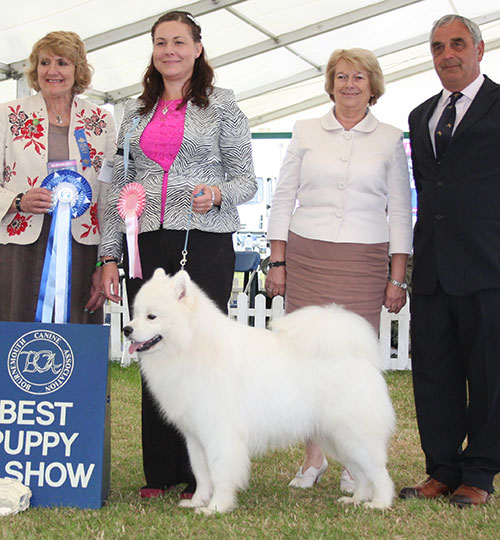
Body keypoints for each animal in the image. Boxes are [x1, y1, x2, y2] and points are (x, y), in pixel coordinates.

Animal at [124, 270, 394, 516]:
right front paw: (197, 502)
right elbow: (201, 475)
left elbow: (220, 474)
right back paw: (356, 499)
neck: (191, 346)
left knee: (378, 472)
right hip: (337, 439)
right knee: (361, 473)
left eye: (151, 316)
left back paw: (379, 503)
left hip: (354, 436)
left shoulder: (221, 435)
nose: (126, 329)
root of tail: (360, 356)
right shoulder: (195, 437)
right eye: (135, 313)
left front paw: (216, 508)